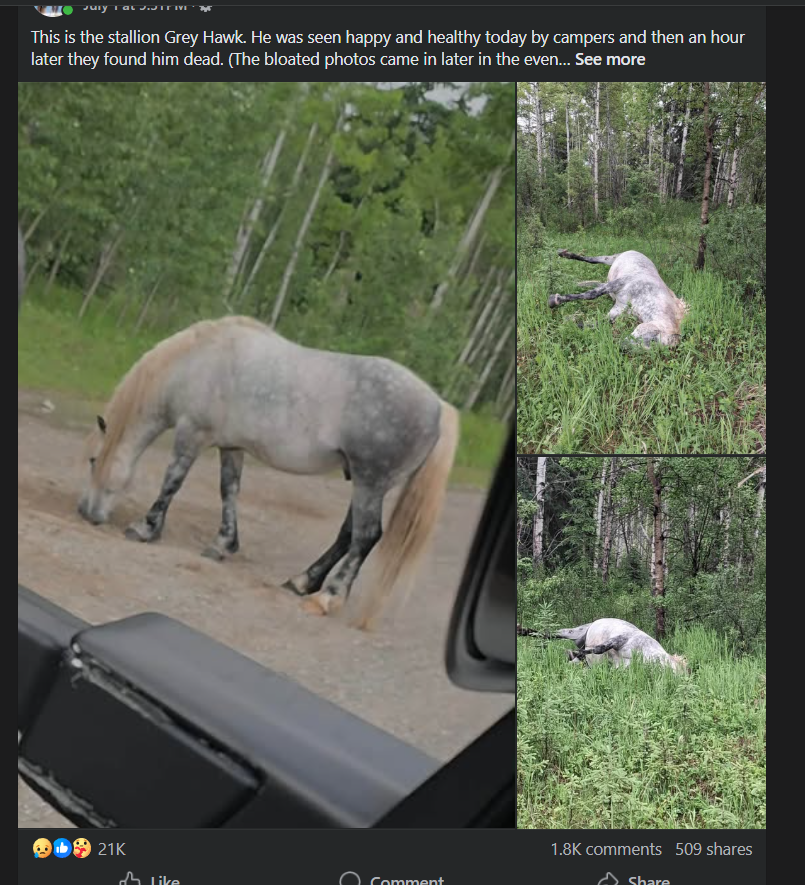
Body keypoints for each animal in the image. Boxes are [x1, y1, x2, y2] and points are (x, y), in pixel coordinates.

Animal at [78, 316, 460, 629]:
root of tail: (438, 407)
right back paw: (302, 581)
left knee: (365, 537)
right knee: (347, 535)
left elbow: (172, 482)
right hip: (367, 486)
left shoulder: (191, 434)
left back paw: (326, 598)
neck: (198, 363)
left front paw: (145, 528)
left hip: (371, 482)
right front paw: (222, 545)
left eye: (93, 460)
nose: (85, 512)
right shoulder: (231, 447)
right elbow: (228, 491)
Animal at [547, 249, 688, 348]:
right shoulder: (616, 284)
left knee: (597, 282)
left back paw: (576, 283)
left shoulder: (617, 310)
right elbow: (591, 295)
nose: (623, 347)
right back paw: (565, 254)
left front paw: (567, 323)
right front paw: (554, 300)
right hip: (610, 259)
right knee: (593, 260)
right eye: (653, 339)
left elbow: (598, 322)